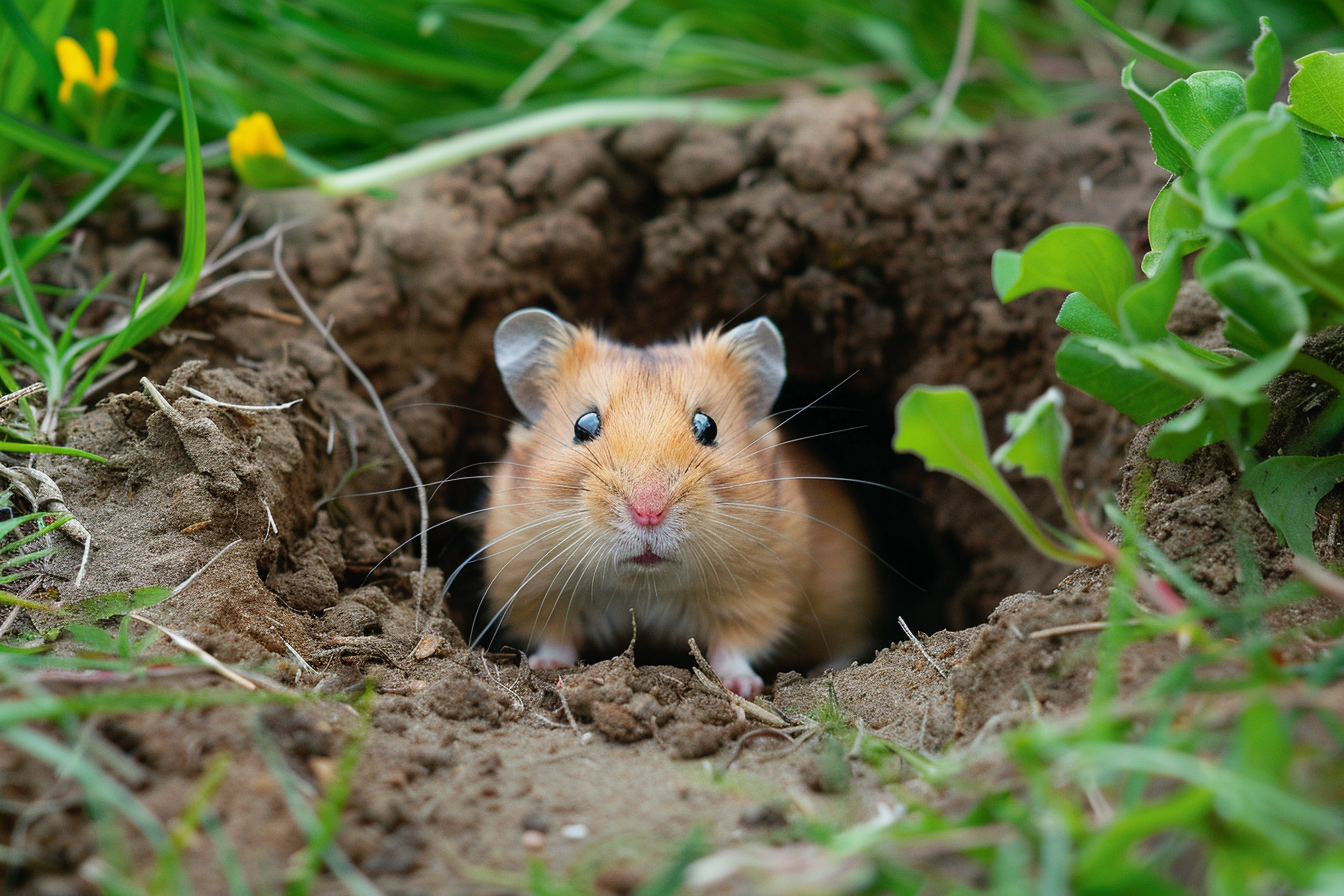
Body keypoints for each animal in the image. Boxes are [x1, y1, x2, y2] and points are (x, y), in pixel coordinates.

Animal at [480, 308, 878, 698]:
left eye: (708, 426)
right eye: (583, 425)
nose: (648, 512)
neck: (645, 587)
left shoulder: (764, 587)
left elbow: (738, 643)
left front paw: (742, 687)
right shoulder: (532, 583)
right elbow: (555, 634)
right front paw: (545, 667)